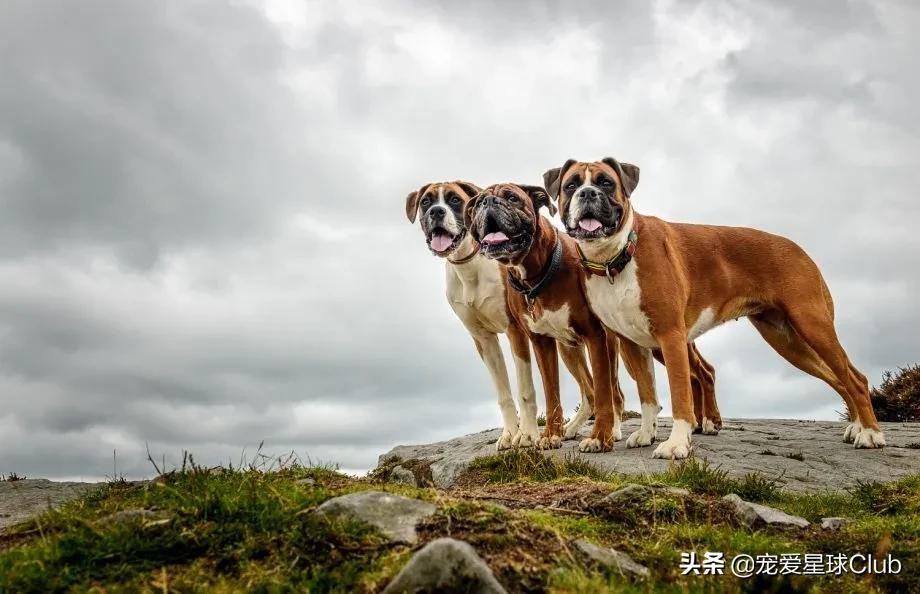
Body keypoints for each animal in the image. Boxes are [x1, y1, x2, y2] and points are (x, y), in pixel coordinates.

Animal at [404, 180, 596, 448]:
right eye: (426, 202)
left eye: (454, 199)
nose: (436, 212)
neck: (470, 266)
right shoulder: (484, 340)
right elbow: (503, 393)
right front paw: (509, 434)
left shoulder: (516, 332)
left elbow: (525, 389)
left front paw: (526, 434)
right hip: (568, 347)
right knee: (590, 390)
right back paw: (573, 428)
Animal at [464, 183, 724, 450]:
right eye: (478, 202)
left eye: (512, 197)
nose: (488, 203)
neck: (538, 274)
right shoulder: (542, 343)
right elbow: (552, 393)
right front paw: (552, 435)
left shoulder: (596, 336)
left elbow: (602, 392)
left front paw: (601, 435)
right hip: (577, 349)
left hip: (655, 342)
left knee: (701, 372)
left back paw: (709, 421)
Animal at [544, 155, 888, 456]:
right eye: (571, 186)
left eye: (606, 182)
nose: (588, 193)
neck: (616, 257)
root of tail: (799, 249)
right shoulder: (631, 342)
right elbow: (647, 393)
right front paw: (644, 434)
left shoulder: (670, 336)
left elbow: (680, 394)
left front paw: (677, 445)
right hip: (788, 341)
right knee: (839, 378)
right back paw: (856, 427)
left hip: (812, 326)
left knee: (855, 378)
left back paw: (870, 434)